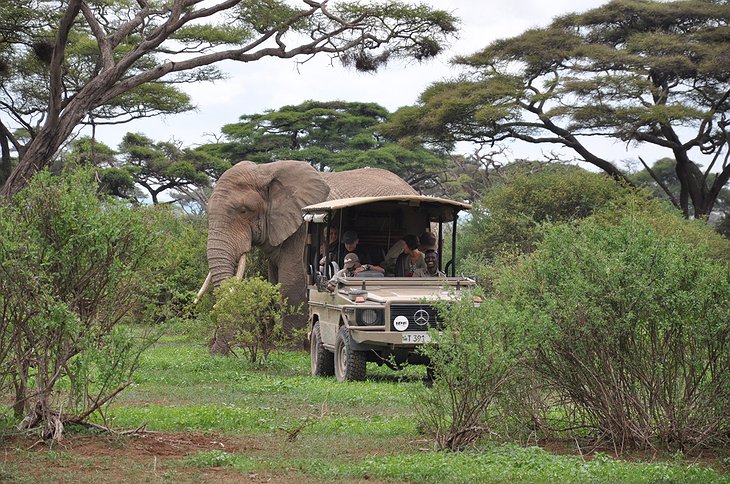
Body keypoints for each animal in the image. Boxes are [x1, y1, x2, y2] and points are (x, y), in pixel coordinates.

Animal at [202, 159, 416, 340]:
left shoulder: (301, 228)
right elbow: (274, 281)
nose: (215, 349)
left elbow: (291, 282)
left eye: (244, 211)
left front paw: (290, 346)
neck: (265, 170)